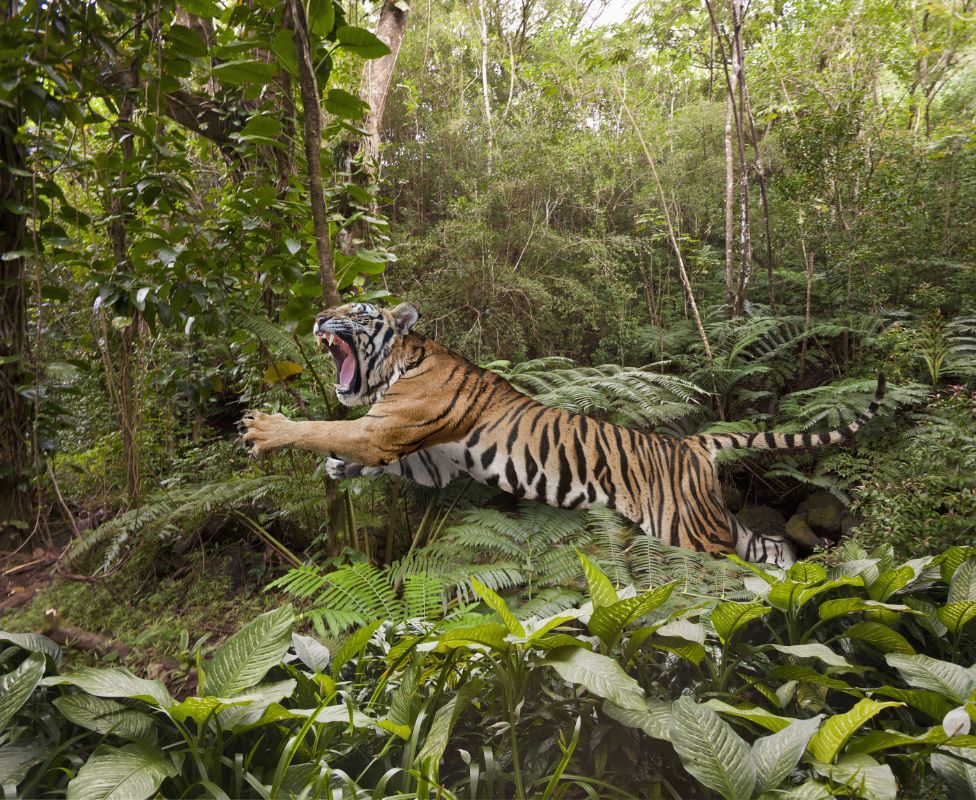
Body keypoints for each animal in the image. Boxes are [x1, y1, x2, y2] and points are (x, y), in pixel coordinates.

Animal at [239, 302, 886, 568]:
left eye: (355, 310)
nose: (318, 319)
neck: (399, 362)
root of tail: (692, 442)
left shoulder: (388, 429)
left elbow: (331, 426)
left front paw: (267, 428)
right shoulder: (431, 458)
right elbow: (367, 451)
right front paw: (336, 468)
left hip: (685, 529)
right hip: (704, 518)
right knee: (765, 545)